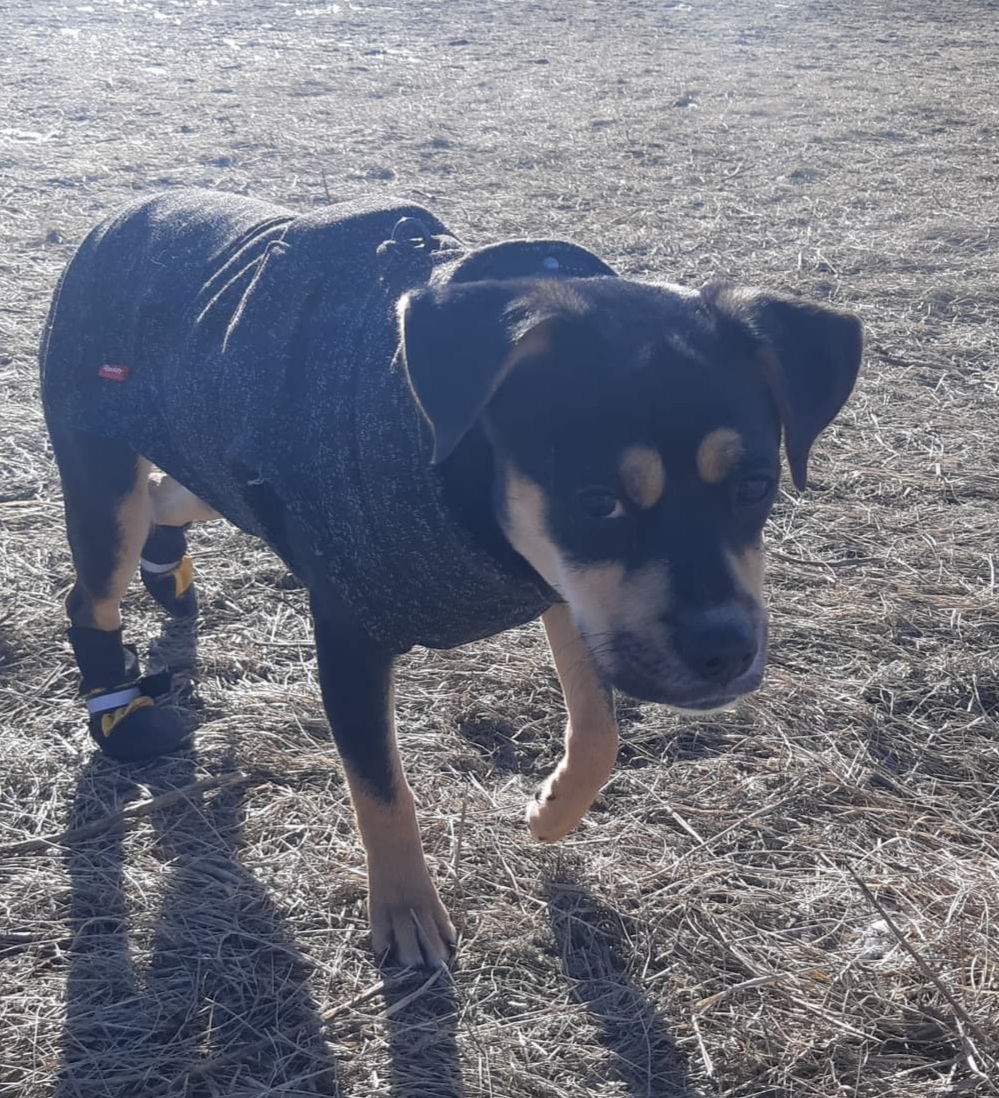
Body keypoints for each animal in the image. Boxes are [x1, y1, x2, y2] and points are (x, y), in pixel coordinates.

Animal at [43, 191, 865, 970]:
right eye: (596, 501)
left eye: (756, 485)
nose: (725, 652)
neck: (453, 456)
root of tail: (120, 217)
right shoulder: (353, 636)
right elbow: (381, 789)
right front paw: (407, 914)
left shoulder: (562, 587)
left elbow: (599, 731)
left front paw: (549, 811)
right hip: (100, 479)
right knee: (92, 588)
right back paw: (119, 705)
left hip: (208, 468)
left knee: (165, 494)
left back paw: (167, 567)